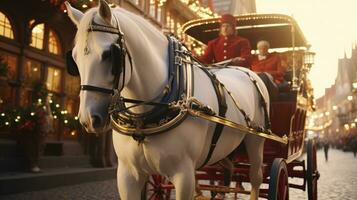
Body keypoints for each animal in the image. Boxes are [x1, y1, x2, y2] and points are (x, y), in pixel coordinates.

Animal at [65, 0, 268, 199]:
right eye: (74, 58)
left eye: (109, 54)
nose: (88, 119)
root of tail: (245, 70)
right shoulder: (127, 175)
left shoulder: (183, 175)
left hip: (256, 141)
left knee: (256, 178)